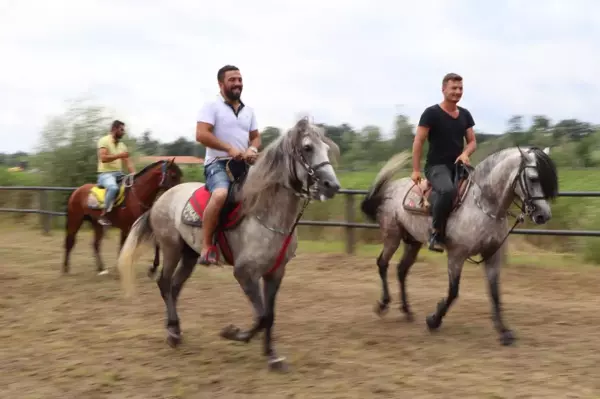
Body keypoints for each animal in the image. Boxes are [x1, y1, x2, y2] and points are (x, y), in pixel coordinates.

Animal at [115, 118, 340, 372]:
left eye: (326, 147)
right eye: (307, 148)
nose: (332, 185)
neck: (265, 214)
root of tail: (160, 200)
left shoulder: (275, 273)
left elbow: (269, 315)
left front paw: (272, 356)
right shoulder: (244, 273)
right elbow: (262, 316)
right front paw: (233, 333)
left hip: (189, 255)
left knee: (174, 287)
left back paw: (176, 330)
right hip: (171, 249)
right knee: (164, 283)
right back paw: (172, 332)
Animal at [358, 148, 560, 346]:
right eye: (533, 178)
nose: (544, 215)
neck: (484, 204)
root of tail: (390, 188)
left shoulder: (492, 254)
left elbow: (495, 292)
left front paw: (504, 332)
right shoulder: (457, 255)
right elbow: (453, 291)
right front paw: (434, 320)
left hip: (413, 242)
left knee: (401, 270)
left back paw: (407, 311)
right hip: (392, 237)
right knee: (382, 263)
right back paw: (383, 304)